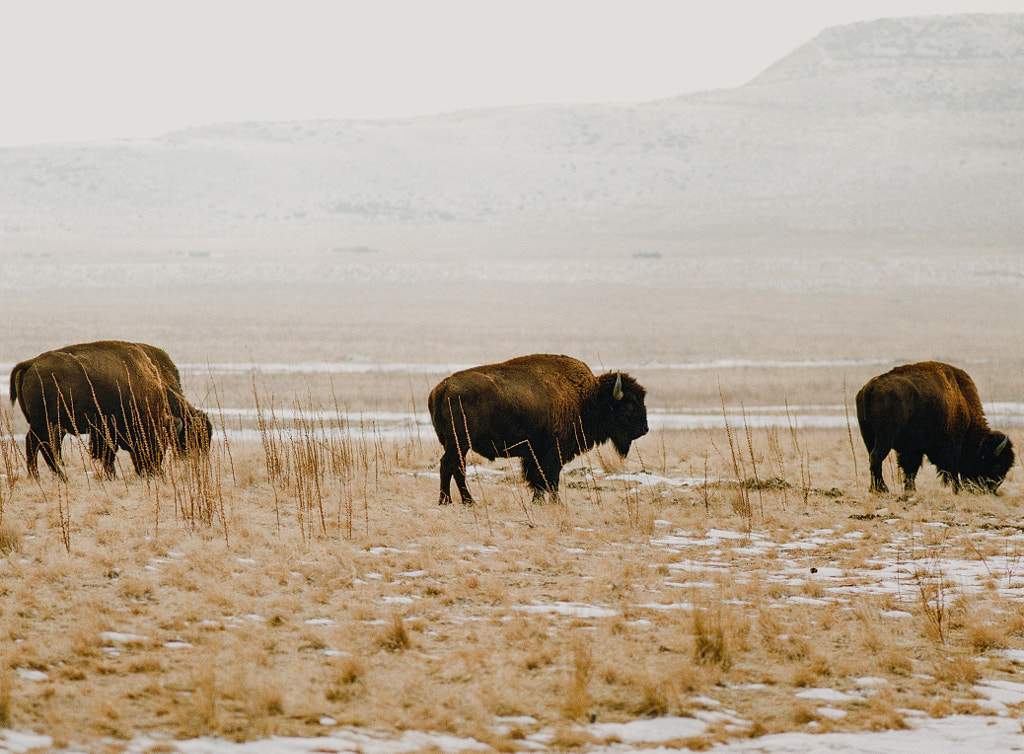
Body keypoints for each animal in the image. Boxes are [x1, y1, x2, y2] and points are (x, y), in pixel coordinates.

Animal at [9, 342, 211, 477]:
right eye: (195, 435)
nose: (153, 471)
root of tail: (31, 363)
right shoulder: (106, 430)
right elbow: (107, 454)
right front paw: (111, 476)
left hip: (47, 424)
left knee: (40, 444)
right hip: (44, 423)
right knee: (39, 444)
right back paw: (56, 477)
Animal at [425, 354, 647, 506]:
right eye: (628, 406)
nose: (644, 429)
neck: (587, 398)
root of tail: (440, 389)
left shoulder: (534, 454)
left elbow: (538, 478)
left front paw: (538, 501)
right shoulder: (553, 452)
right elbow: (549, 478)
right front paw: (556, 502)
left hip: (457, 444)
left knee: (455, 467)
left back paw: (461, 501)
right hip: (460, 443)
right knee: (450, 465)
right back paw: (453, 501)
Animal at [851, 360, 1011, 495]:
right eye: (996, 465)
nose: (989, 490)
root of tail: (870, 387)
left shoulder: (912, 449)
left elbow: (910, 469)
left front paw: (911, 489)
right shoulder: (949, 448)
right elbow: (951, 470)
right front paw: (957, 490)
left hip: (868, 436)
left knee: (872, 458)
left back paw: (875, 489)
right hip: (885, 438)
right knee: (876, 457)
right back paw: (882, 489)